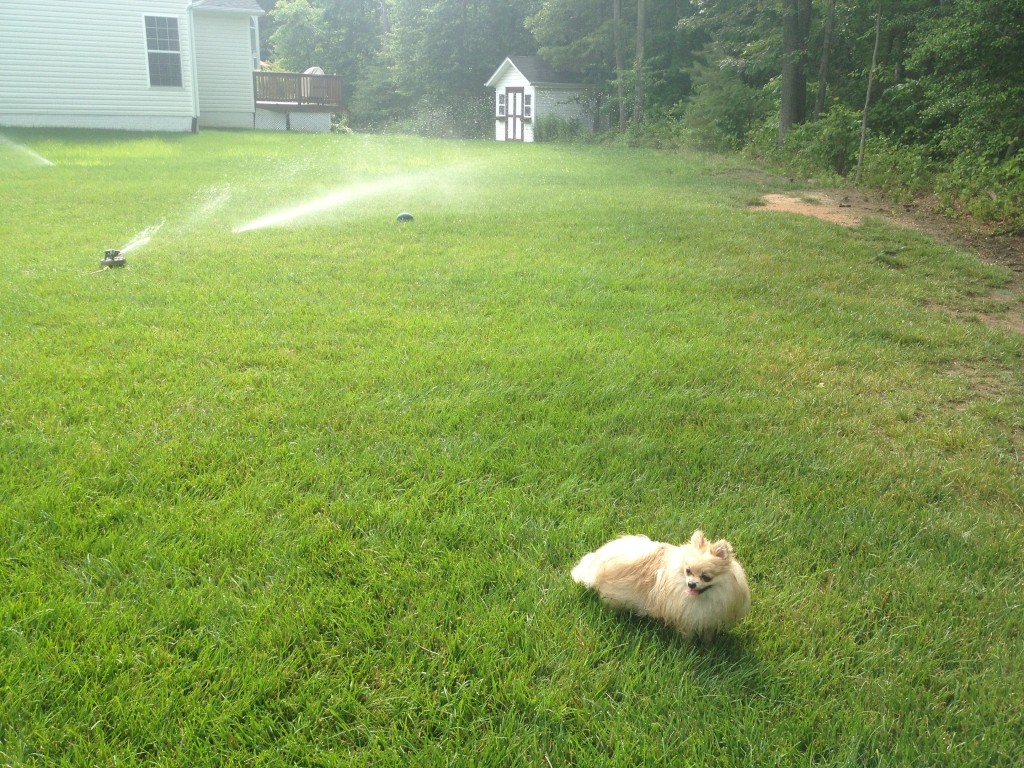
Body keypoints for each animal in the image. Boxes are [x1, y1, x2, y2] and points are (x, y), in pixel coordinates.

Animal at [573, 528, 749, 643]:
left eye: (706, 577)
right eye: (688, 571)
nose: (691, 584)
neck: (704, 597)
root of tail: (599, 559)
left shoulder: (710, 617)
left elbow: (708, 634)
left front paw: (708, 646)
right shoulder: (686, 617)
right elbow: (687, 636)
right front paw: (689, 648)